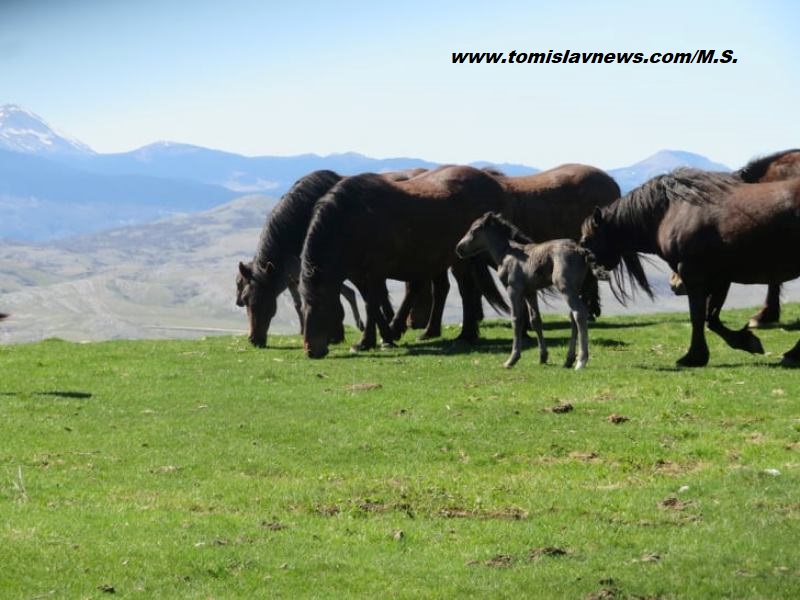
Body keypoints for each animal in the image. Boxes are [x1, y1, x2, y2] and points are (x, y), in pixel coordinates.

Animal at [300, 165, 506, 356]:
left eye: (322, 306)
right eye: (304, 308)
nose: (311, 350)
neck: (352, 220)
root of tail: (493, 184)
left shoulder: (374, 272)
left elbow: (372, 304)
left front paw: (370, 341)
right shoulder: (360, 276)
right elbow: (371, 303)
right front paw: (382, 337)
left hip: (463, 259)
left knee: (466, 291)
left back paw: (465, 335)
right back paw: (436, 332)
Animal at [456, 211, 600, 370]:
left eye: (474, 229)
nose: (459, 248)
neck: (507, 253)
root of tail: (581, 251)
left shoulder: (513, 289)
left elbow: (516, 320)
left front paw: (512, 359)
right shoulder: (530, 292)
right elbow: (535, 320)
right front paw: (543, 357)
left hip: (565, 287)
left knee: (579, 313)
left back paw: (581, 361)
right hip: (578, 288)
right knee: (573, 316)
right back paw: (568, 360)